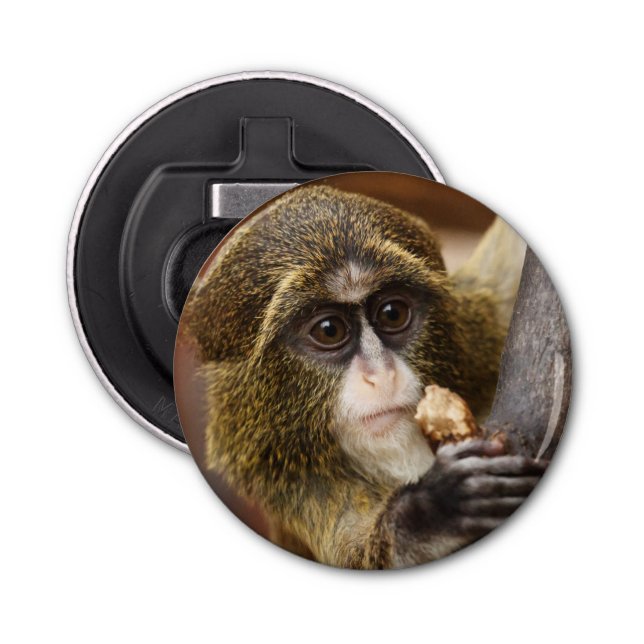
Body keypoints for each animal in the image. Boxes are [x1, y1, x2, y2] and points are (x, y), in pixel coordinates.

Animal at [182, 184, 547, 569]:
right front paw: (433, 509)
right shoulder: (296, 486)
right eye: (329, 330)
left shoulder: (480, 331)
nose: (381, 376)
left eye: (392, 313)